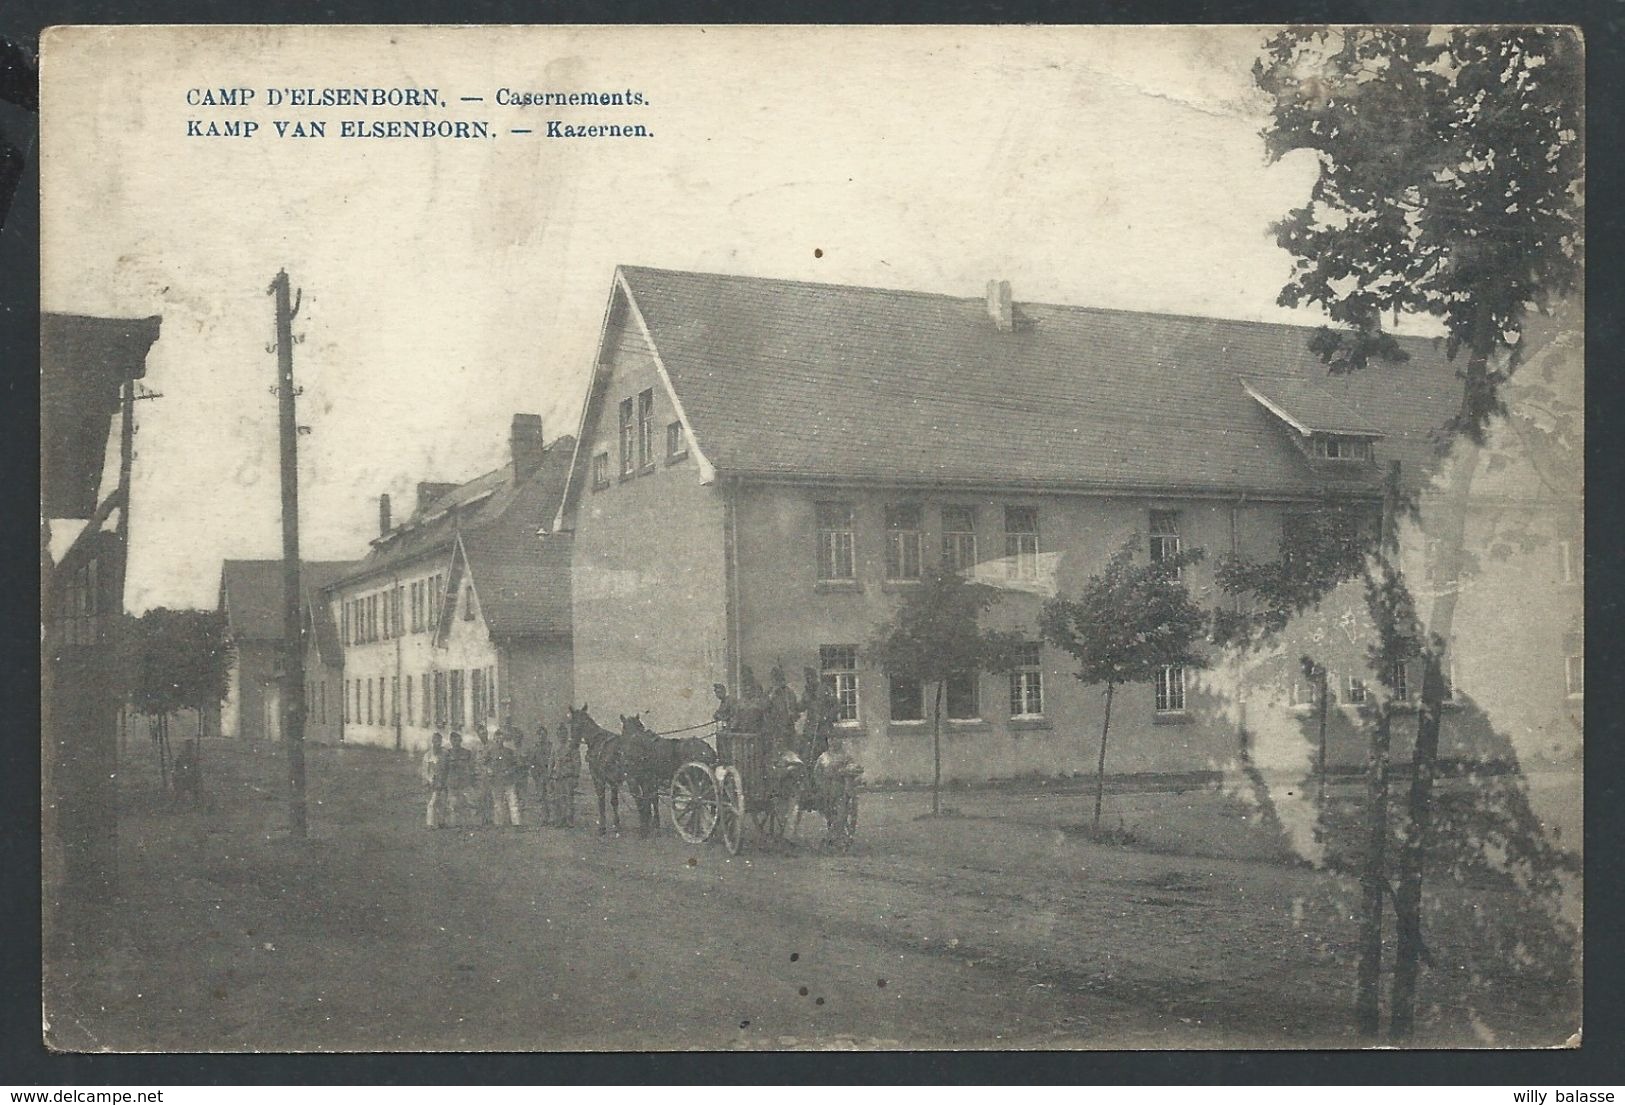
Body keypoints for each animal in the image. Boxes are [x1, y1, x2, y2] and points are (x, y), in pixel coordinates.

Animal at [568, 702, 624, 832]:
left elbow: (603, 799)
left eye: (582, 723)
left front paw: (604, 826)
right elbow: (612, 801)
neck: (597, 740)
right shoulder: (611, 780)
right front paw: (615, 824)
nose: (573, 745)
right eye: (572, 723)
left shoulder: (599, 777)